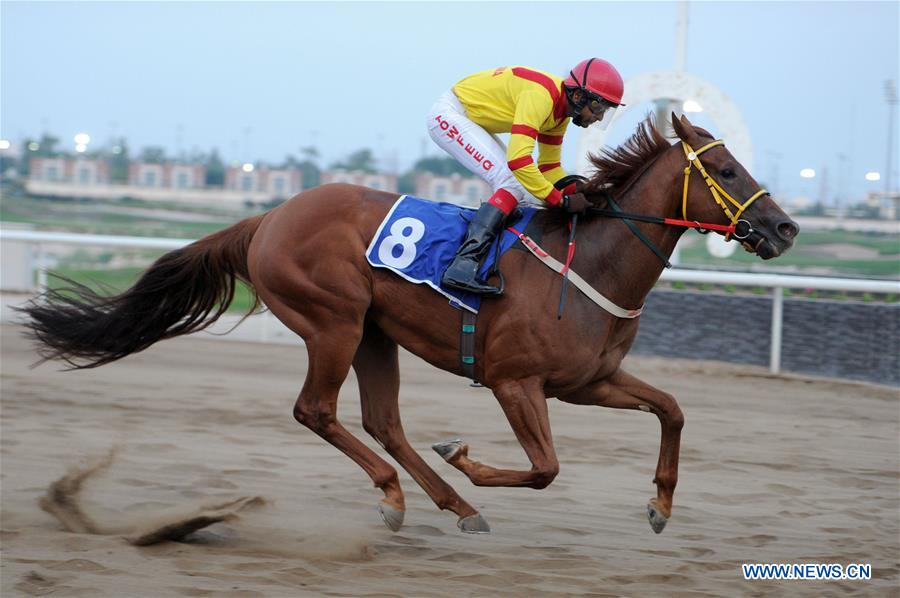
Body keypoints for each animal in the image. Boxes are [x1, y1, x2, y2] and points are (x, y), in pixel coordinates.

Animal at [20, 114, 798, 535]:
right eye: (728, 169)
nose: (785, 227)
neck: (594, 265)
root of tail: (268, 216)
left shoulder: (590, 381)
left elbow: (672, 409)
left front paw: (661, 503)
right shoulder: (515, 382)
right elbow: (545, 468)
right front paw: (464, 455)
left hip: (373, 332)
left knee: (382, 421)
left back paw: (449, 505)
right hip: (332, 321)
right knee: (317, 411)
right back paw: (407, 494)